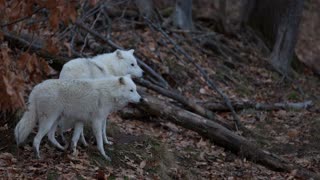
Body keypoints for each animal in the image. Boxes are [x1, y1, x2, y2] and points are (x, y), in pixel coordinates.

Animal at [13, 75, 141, 160]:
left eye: (135, 89)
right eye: (131, 90)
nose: (141, 99)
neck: (110, 92)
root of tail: (37, 87)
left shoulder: (80, 121)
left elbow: (75, 139)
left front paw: (73, 153)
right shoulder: (97, 121)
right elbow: (99, 141)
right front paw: (104, 155)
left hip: (55, 119)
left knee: (50, 136)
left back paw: (61, 148)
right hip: (49, 121)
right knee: (36, 139)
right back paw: (38, 156)